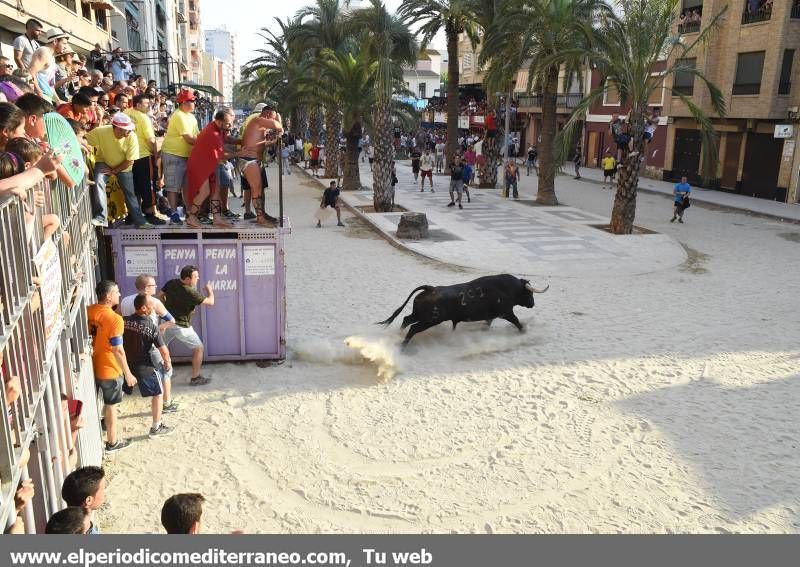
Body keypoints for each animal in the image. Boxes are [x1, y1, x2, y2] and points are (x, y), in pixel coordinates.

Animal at [378, 274, 548, 348]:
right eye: (529, 293)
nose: (532, 304)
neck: (509, 288)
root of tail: (430, 288)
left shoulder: (492, 315)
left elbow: (488, 324)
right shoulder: (506, 313)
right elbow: (517, 322)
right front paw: (524, 331)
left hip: (419, 315)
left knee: (406, 319)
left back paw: (398, 336)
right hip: (429, 320)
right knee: (413, 328)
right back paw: (403, 347)